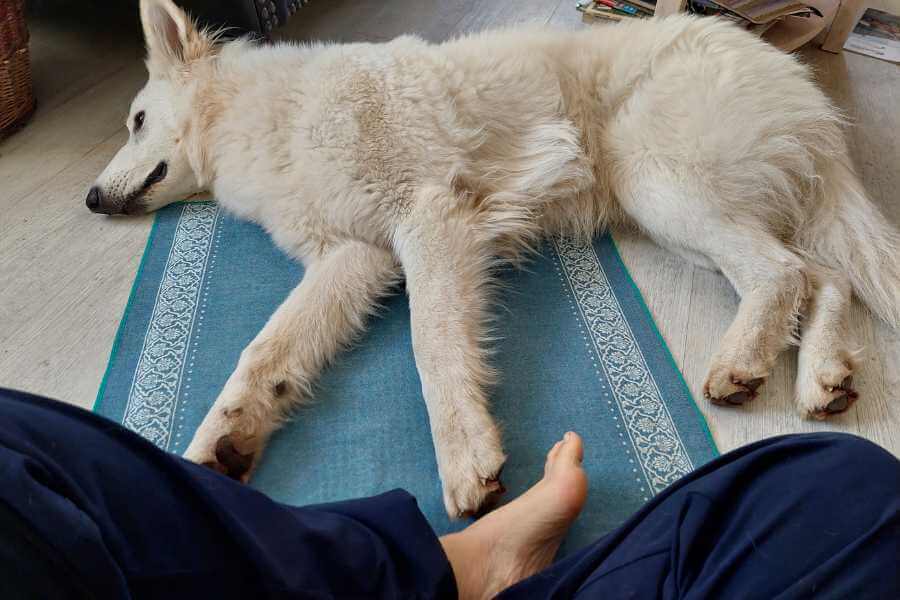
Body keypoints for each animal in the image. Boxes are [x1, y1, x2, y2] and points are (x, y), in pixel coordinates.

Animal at [89, 0, 900, 516]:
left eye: (136, 121)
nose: (92, 200)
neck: (263, 116)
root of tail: (785, 73)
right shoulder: (353, 257)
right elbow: (266, 352)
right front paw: (225, 438)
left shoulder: (430, 223)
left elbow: (432, 346)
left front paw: (464, 456)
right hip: (676, 214)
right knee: (823, 277)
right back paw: (823, 378)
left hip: (660, 185)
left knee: (784, 273)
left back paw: (740, 363)